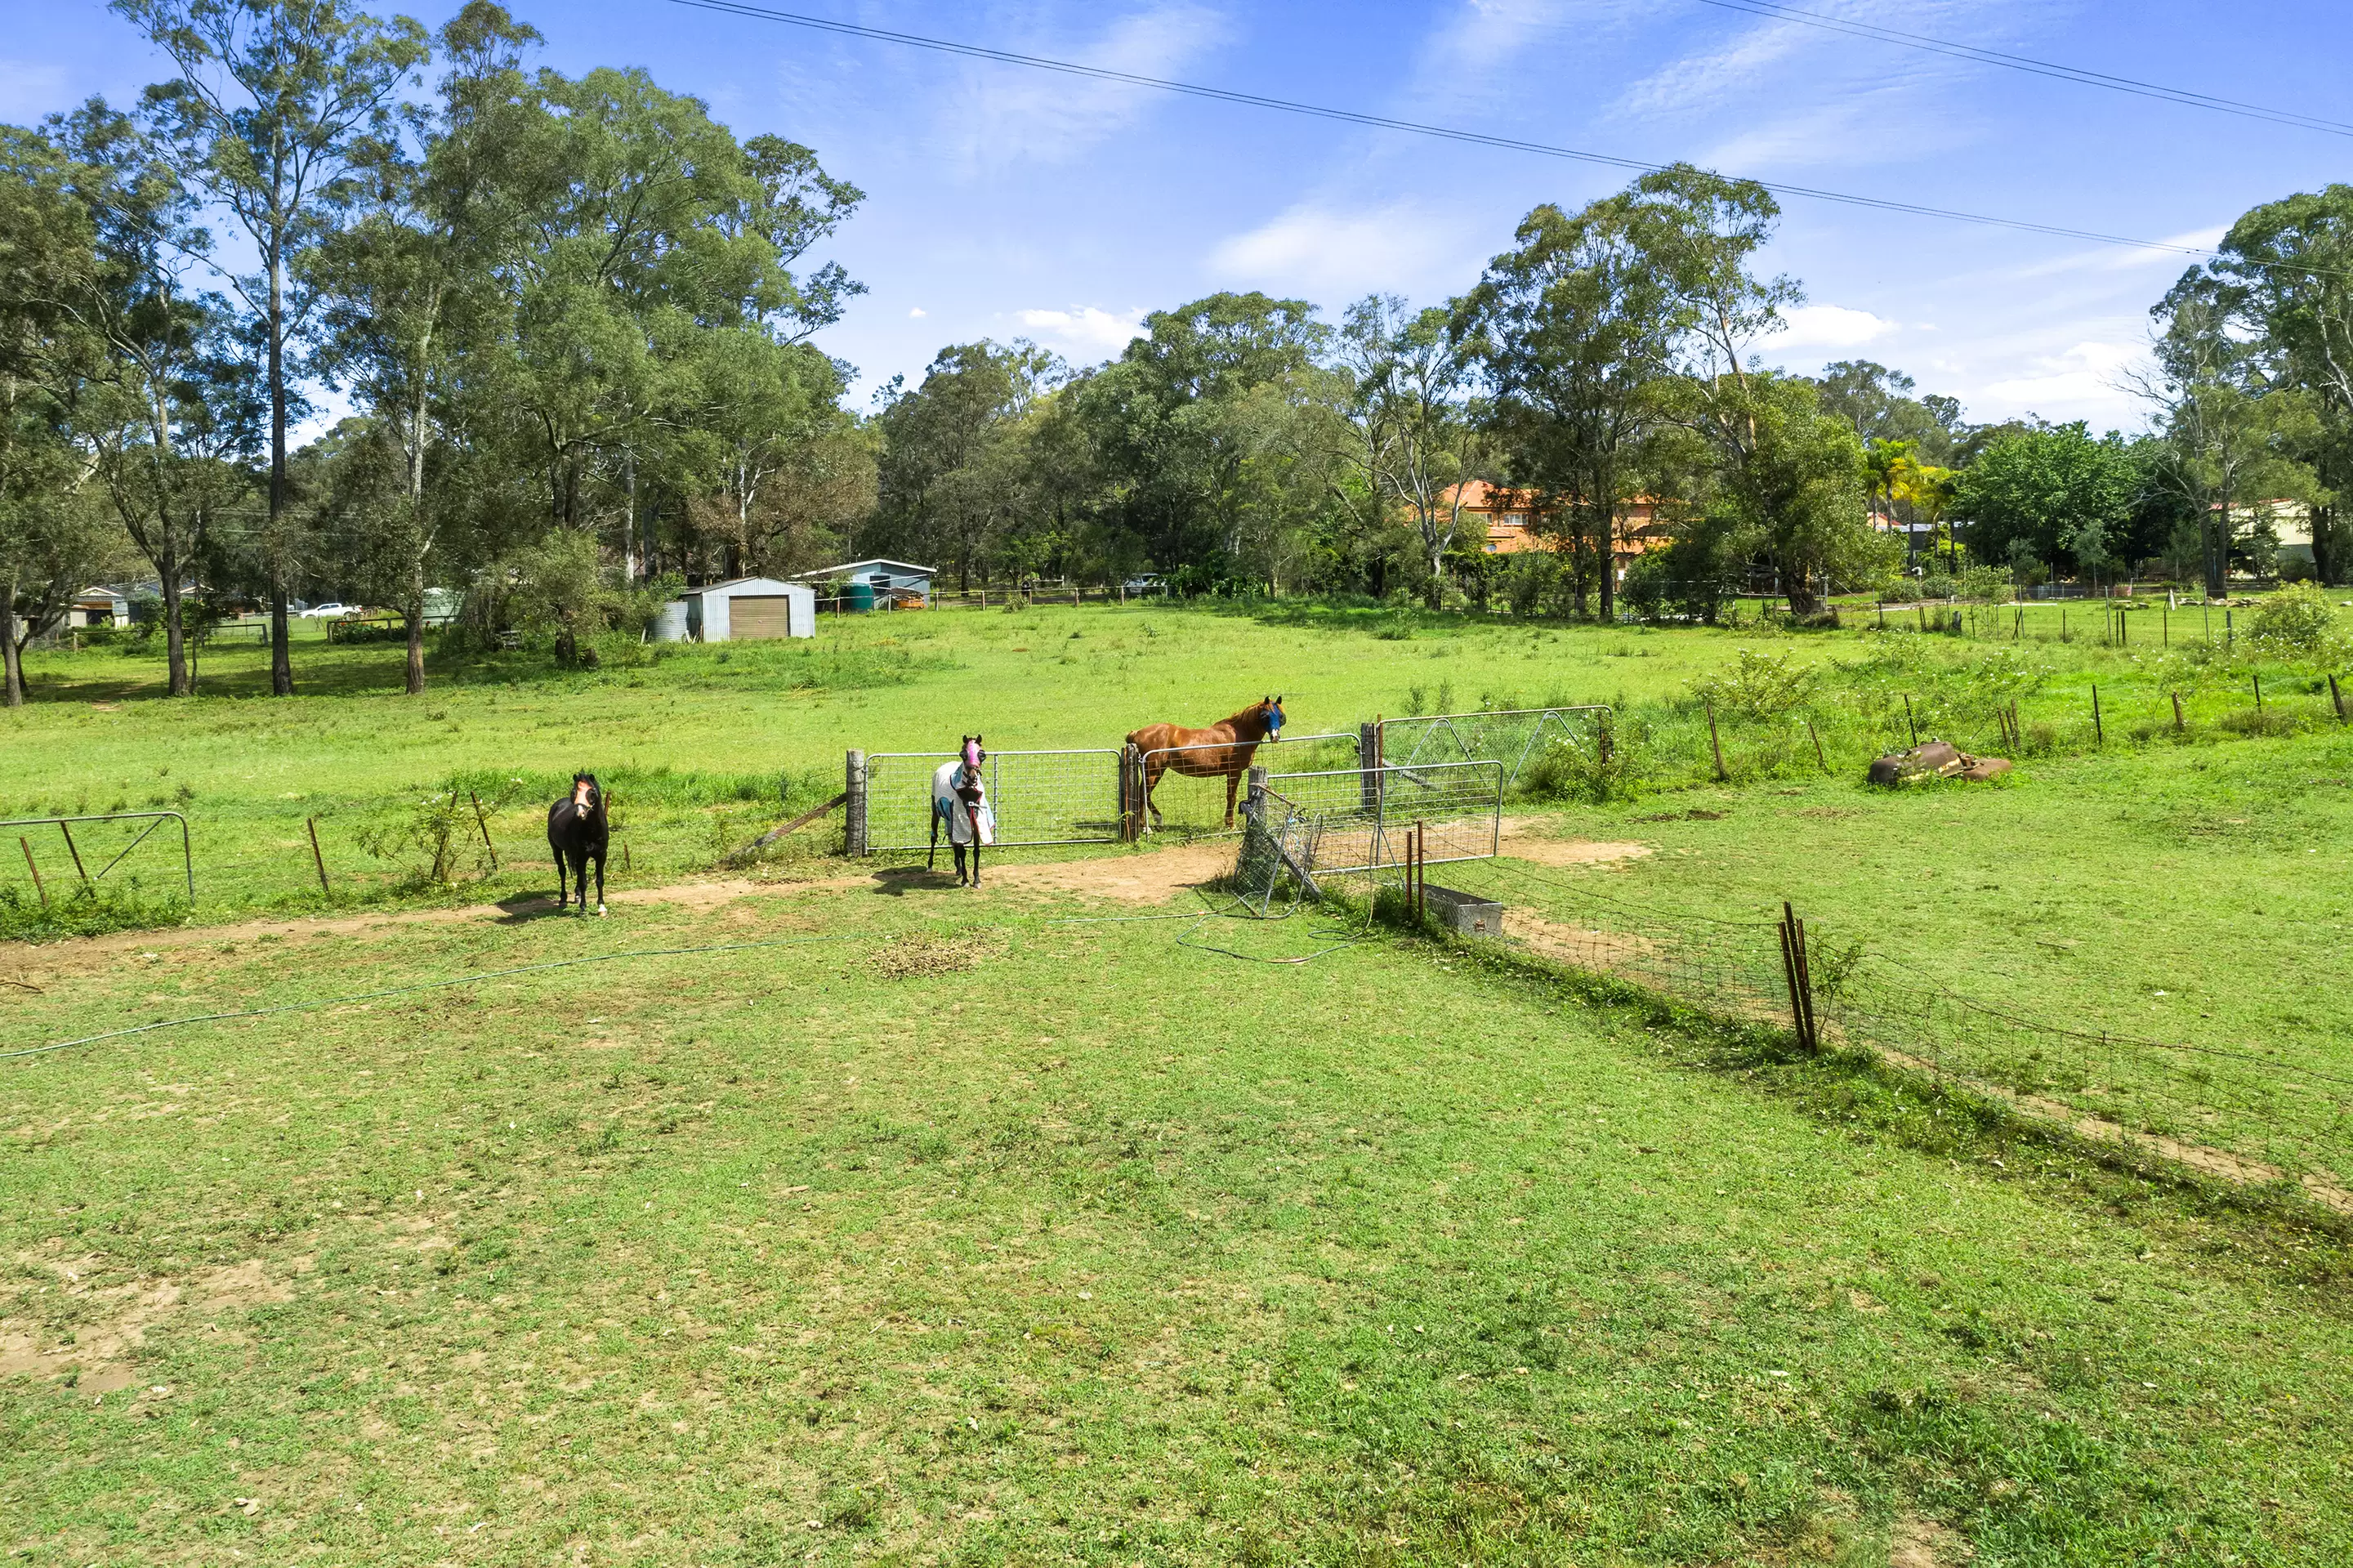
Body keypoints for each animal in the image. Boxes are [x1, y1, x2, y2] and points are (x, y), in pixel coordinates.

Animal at [1124, 692, 1289, 824]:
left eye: (1280, 716)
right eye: (1265, 716)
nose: (1275, 737)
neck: (1239, 733)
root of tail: (1137, 732)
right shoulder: (1234, 772)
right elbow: (1231, 797)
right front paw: (1229, 824)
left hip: (1158, 771)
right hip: (1152, 772)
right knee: (1142, 795)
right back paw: (1147, 827)